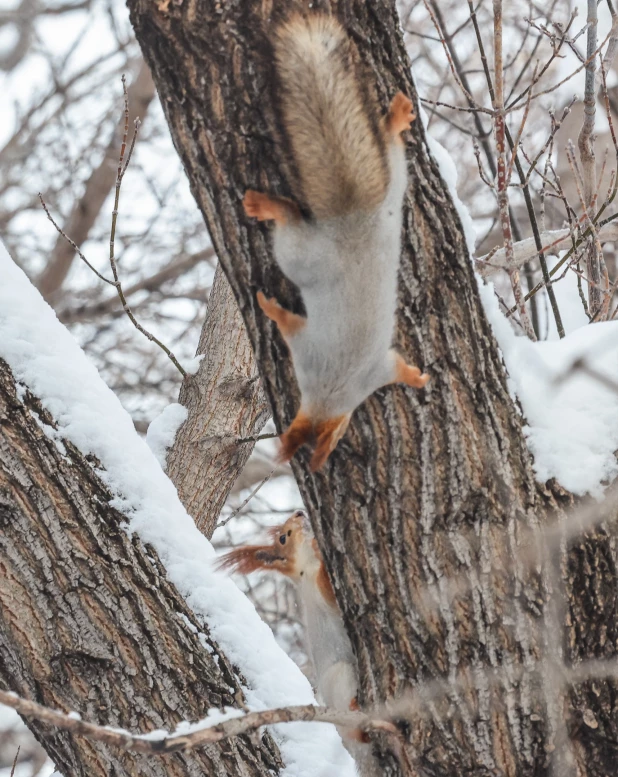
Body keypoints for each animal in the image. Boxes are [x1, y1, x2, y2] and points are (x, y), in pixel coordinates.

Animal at [215, 510, 366, 752]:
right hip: (340, 676)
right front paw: (318, 545)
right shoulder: (318, 587)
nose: (299, 512)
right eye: (283, 538)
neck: (306, 568)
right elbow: (329, 588)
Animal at [242, 13, 428, 472]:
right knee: (392, 153)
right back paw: (396, 119)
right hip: (393, 191)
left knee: (290, 222)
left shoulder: (311, 351)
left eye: (335, 436)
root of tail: (351, 222)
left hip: (299, 252)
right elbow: (398, 366)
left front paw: (269, 307)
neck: (333, 392)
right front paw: (418, 376)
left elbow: (288, 324)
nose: (319, 459)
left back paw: (265, 205)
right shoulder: (373, 370)